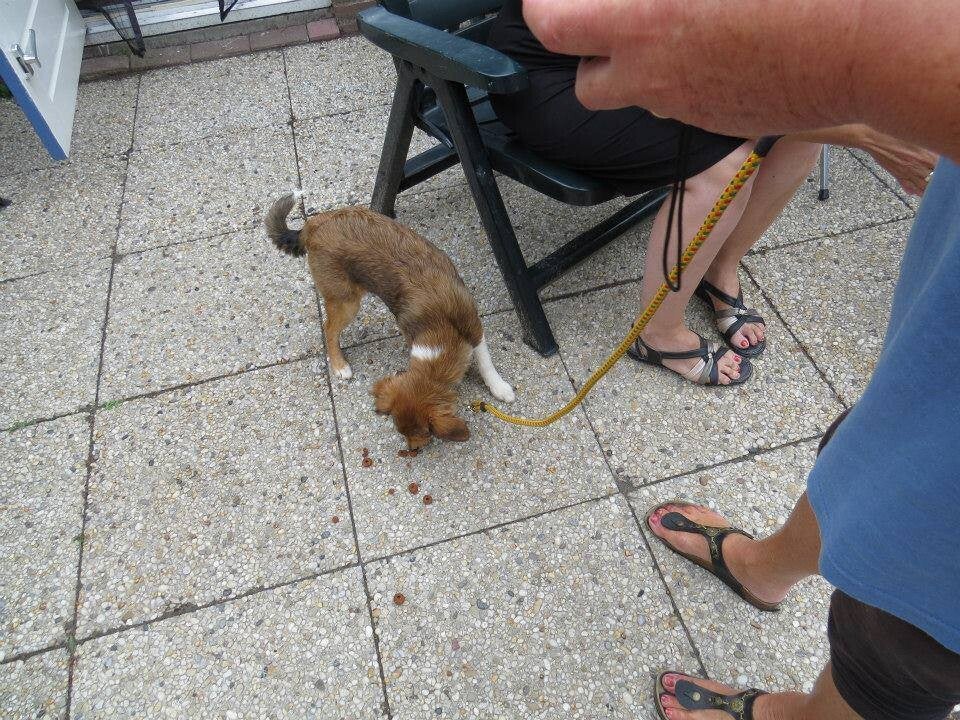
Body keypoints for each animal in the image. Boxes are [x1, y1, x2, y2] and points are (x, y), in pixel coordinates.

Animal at [265, 194, 515, 450]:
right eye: (402, 432)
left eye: (426, 435)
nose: (412, 450)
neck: (439, 325)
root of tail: (313, 224)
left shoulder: (474, 327)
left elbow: (485, 362)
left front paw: (499, 387)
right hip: (346, 301)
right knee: (329, 330)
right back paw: (339, 365)